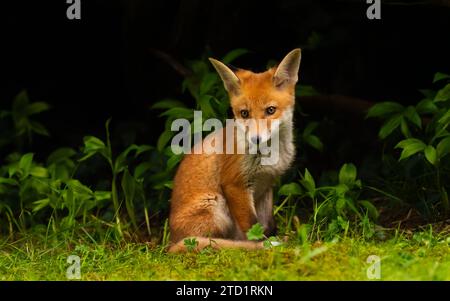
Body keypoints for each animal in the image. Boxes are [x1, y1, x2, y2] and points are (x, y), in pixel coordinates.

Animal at [169, 48, 302, 251]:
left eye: (271, 110)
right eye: (244, 113)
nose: (255, 139)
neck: (271, 155)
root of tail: (169, 243)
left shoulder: (266, 184)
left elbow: (267, 223)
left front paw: (271, 238)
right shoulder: (235, 185)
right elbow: (252, 227)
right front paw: (262, 246)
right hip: (216, 206)